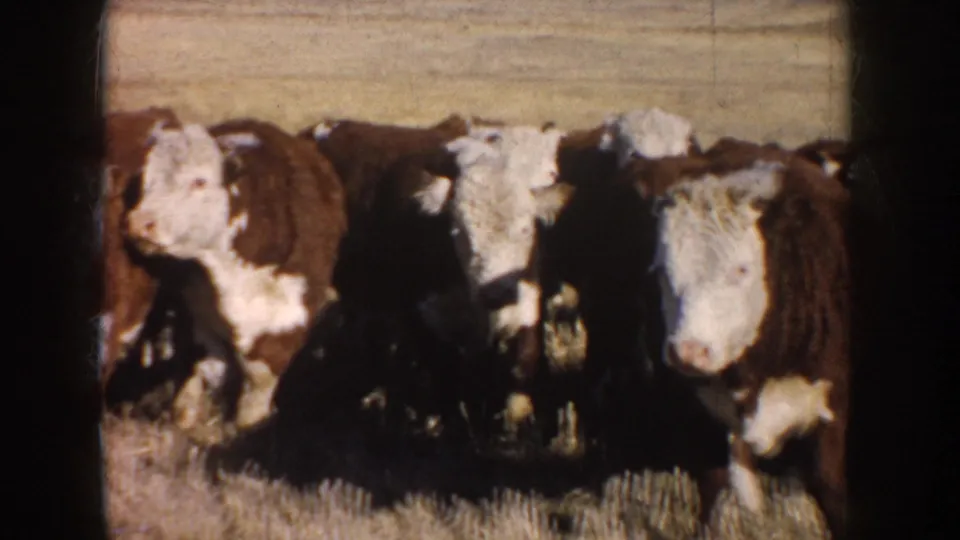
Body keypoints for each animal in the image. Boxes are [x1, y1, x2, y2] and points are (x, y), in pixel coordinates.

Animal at [123, 118, 347, 443]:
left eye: (199, 181)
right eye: (146, 178)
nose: (140, 223)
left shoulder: (283, 325)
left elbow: (257, 390)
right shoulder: (200, 321)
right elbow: (200, 373)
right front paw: (184, 421)